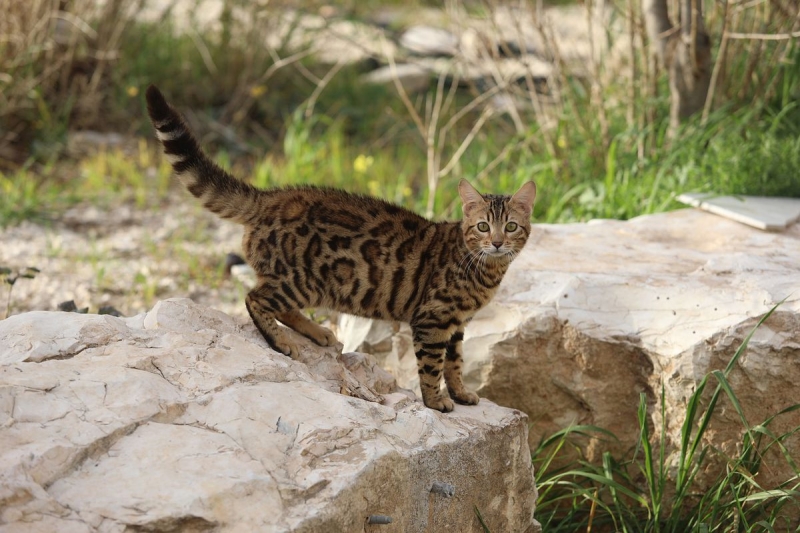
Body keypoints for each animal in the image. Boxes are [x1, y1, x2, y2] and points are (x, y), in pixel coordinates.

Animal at [147, 85, 540, 414]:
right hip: (304, 279)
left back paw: (316, 332)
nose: (497, 242)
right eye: (483, 226)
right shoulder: (433, 319)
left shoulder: (457, 325)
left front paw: (460, 393)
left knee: (276, 302)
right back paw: (280, 342)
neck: (484, 269)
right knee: (255, 297)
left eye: (511, 226)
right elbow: (432, 366)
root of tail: (271, 196)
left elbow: (455, 363)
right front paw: (436, 401)